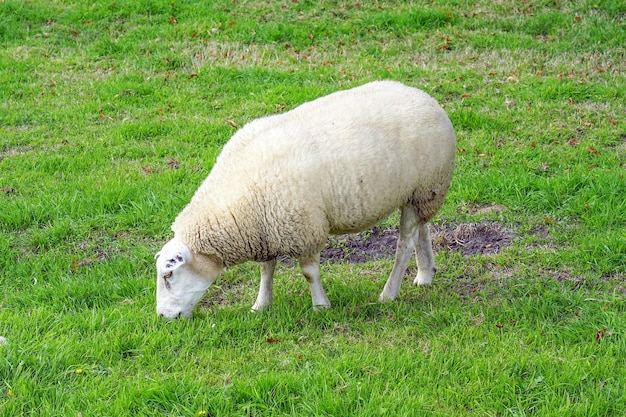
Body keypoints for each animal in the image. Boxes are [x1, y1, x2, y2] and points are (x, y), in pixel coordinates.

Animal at [154, 79, 456, 316]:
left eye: (168, 274)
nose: (162, 317)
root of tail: (426, 97)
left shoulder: (304, 228)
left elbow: (309, 272)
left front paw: (321, 306)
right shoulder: (265, 229)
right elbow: (266, 269)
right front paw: (261, 305)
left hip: (427, 186)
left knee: (404, 244)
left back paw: (388, 294)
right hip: (420, 192)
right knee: (421, 229)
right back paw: (425, 274)